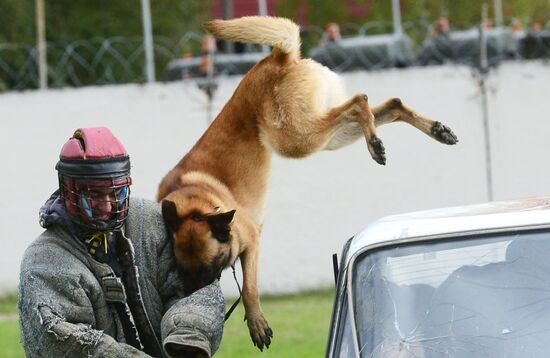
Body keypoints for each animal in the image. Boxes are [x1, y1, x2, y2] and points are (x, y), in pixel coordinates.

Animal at [156, 15, 462, 352]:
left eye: (208, 267)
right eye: (183, 269)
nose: (188, 296)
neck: (194, 199)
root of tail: (278, 58)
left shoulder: (252, 241)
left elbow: (249, 287)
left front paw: (256, 322)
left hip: (296, 138)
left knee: (359, 101)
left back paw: (376, 144)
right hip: (324, 135)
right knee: (389, 105)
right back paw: (434, 131)